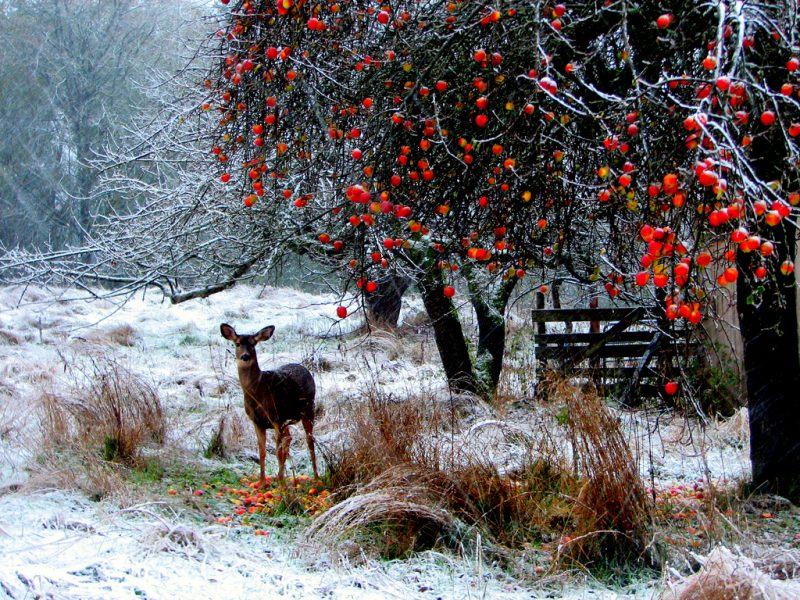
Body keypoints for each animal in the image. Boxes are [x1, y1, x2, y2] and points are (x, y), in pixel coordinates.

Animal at [220, 324, 320, 488]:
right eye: (237, 343)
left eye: (253, 344)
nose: (245, 356)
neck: (257, 392)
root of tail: (304, 369)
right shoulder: (257, 421)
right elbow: (262, 451)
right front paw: (262, 483)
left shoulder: (275, 417)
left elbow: (278, 452)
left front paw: (281, 484)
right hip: (286, 419)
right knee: (289, 438)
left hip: (308, 409)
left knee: (309, 441)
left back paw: (316, 478)